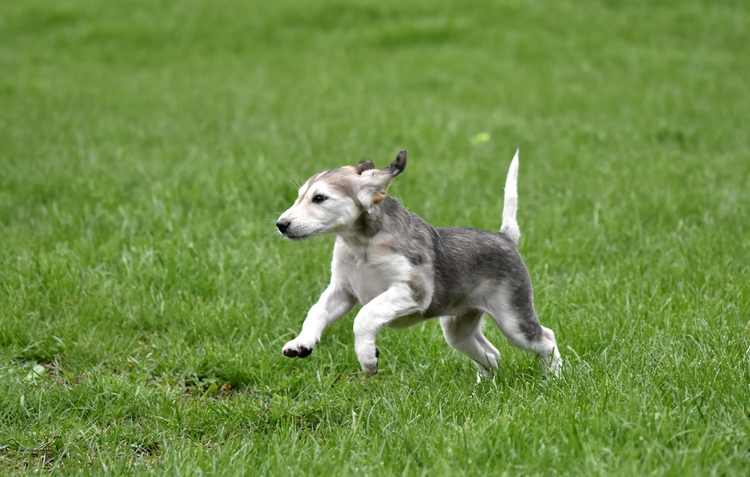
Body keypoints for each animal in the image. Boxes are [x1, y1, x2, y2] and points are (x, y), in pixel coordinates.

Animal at [280, 151, 560, 378]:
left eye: (320, 198)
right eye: (299, 196)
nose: (281, 224)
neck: (362, 247)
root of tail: (505, 237)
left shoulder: (413, 289)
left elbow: (364, 316)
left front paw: (368, 358)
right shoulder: (342, 290)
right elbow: (317, 310)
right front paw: (302, 342)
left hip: (513, 320)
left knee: (546, 338)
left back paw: (554, 379)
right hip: (458, 328)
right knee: (492, 355)